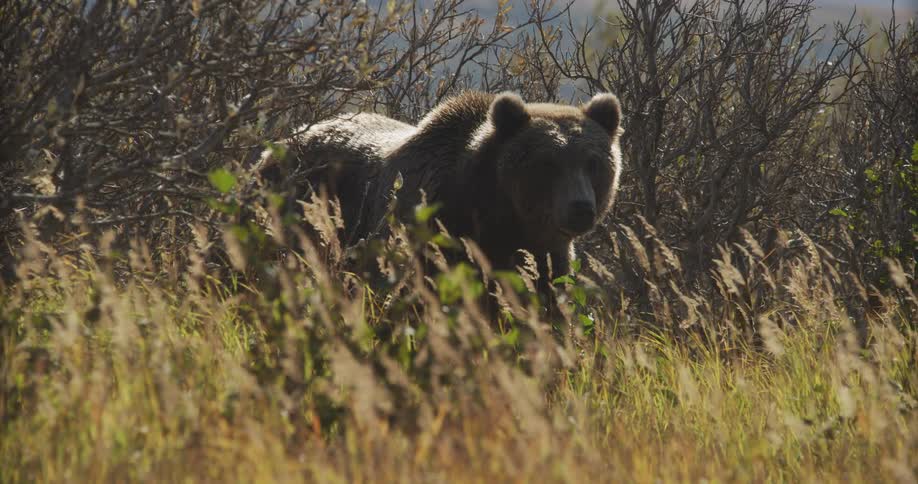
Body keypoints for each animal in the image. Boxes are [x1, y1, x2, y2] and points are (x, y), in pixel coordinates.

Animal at [257, 91, 623, 305]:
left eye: (593, 163)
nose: (581, 209)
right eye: (547, 164)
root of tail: (280, 142)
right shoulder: (433, 229)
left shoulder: (546, 255)